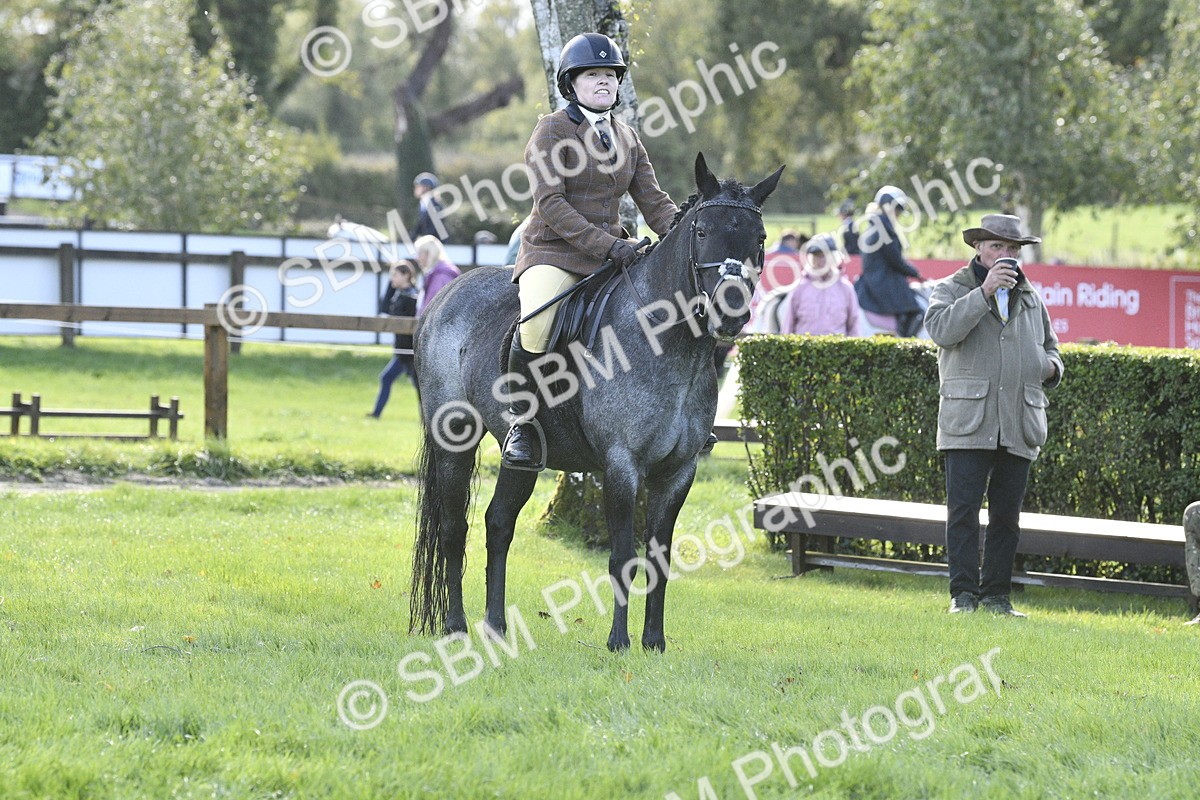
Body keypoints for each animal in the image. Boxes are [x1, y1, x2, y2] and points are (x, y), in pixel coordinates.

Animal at [409, 153, 783, 652]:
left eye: (759, 238)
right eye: (703, 231)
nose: (730, 312)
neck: (668, 342)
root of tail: (444, 296)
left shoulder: (679, 471)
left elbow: (659, 558)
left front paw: (654, 642)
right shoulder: (622, 466)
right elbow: (623, 556)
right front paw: (619, 642)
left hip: (522, 457)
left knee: (498, 523)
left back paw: (496, 627)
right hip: (455, 441)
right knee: (454, 528)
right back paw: (456, 626)